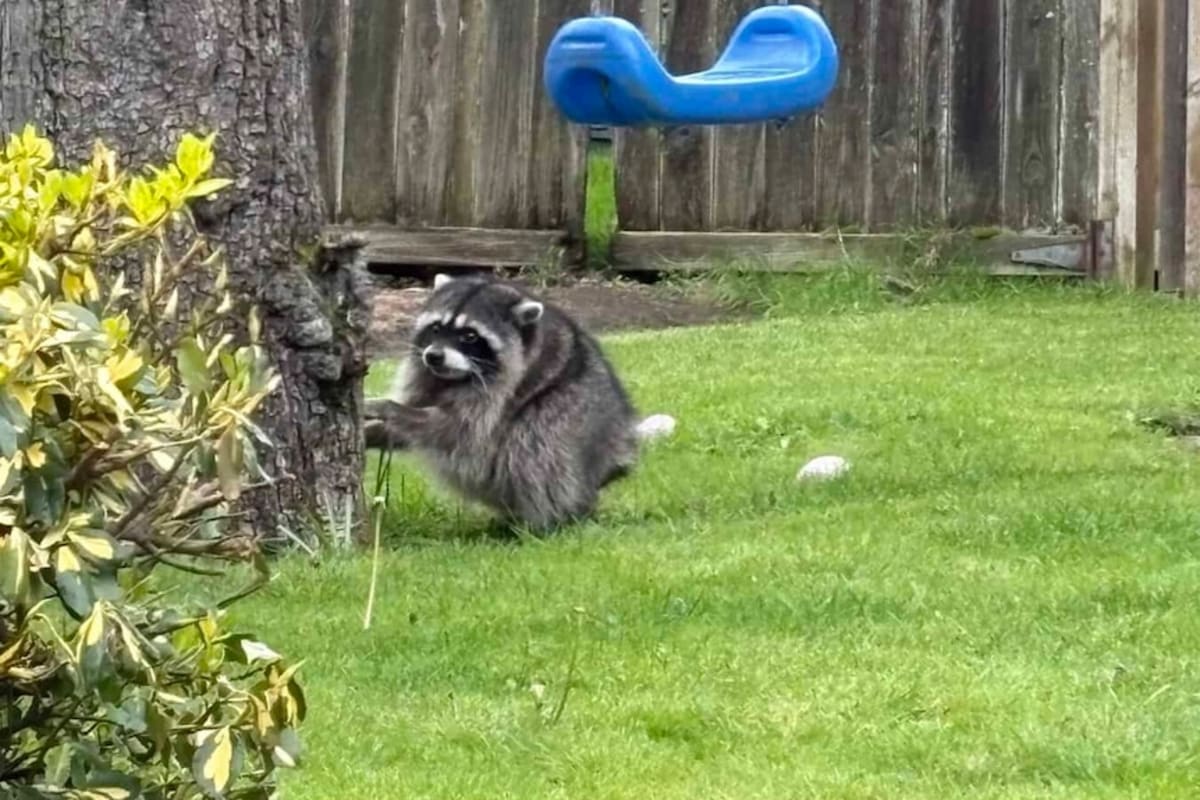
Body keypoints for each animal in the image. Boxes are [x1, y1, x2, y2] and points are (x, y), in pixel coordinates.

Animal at [364, 273, 639, 530]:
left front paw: (390, 408)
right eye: (435, 328)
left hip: (573, 417)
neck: (455, 377)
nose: (434, 356)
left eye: (470, 336)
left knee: (536, 442)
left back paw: (546, 520)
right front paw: (375, 431)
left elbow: (455, 430)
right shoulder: (425, 375)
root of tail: (616, 455)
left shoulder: (501, 391)